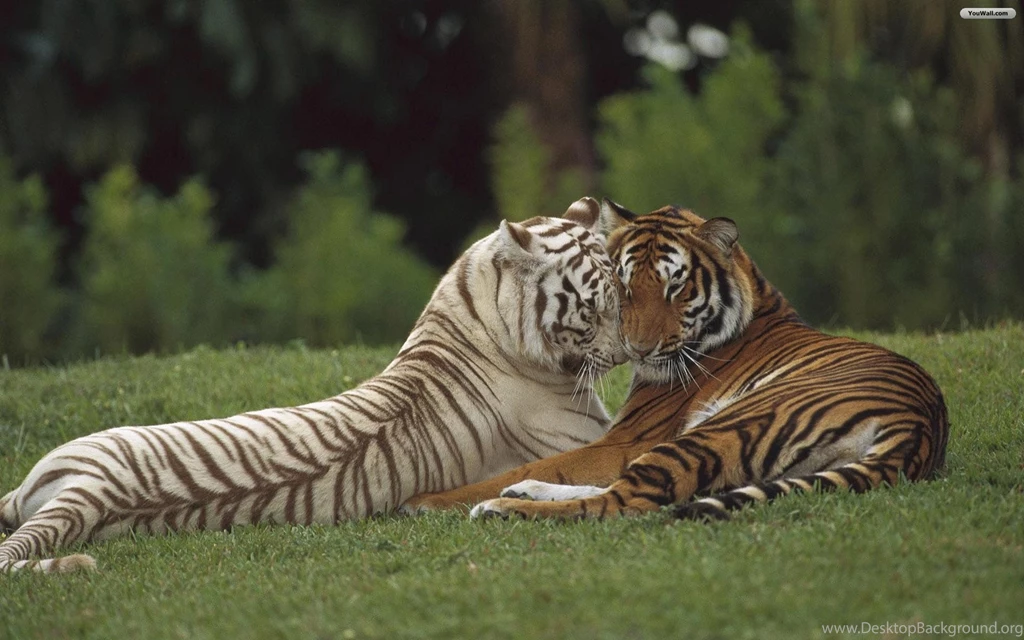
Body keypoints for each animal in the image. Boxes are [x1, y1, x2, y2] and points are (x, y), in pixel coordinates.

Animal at [0, 197, 626, 572]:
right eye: (594, 306)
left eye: (623, 294)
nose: (629, 352)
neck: (475, 306)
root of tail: (92, 490)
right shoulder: (588, 438)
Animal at [400, 201, 949, 521]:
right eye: (623, 285)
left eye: (675, 287)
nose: (637, 349)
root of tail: (919, 427)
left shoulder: (629, 439)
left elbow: (545, 462)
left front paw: (428, 500)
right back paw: (521, 494)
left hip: (723, 427)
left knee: (624, 501)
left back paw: (497, 507)